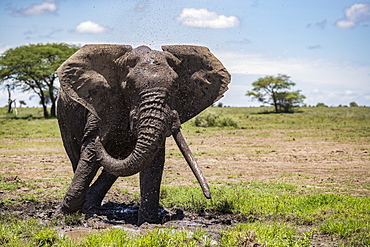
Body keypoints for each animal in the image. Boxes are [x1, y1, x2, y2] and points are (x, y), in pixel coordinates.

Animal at [56, 44, 230, 226]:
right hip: (63, 117)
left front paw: (147, 223)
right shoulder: (102, 105)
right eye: (129, 87)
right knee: (77, 157)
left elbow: (153, 160)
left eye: (176, 87)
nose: (209, 196)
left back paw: (91, 204)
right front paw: (62, 216)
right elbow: (90, 151)